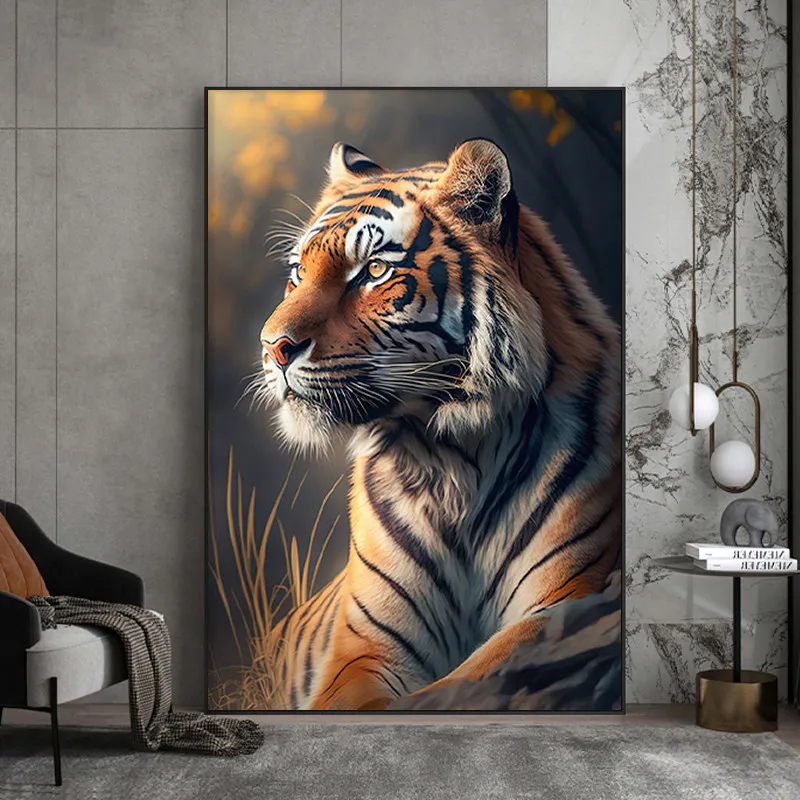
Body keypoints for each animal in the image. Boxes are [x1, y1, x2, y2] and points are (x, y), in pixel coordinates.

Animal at [258, 138, 621, 711]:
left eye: (373, 271)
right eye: (298, 273)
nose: (273, 347)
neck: (448, 455)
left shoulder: (561, 601)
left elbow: (459, 684)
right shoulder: (363, 647)